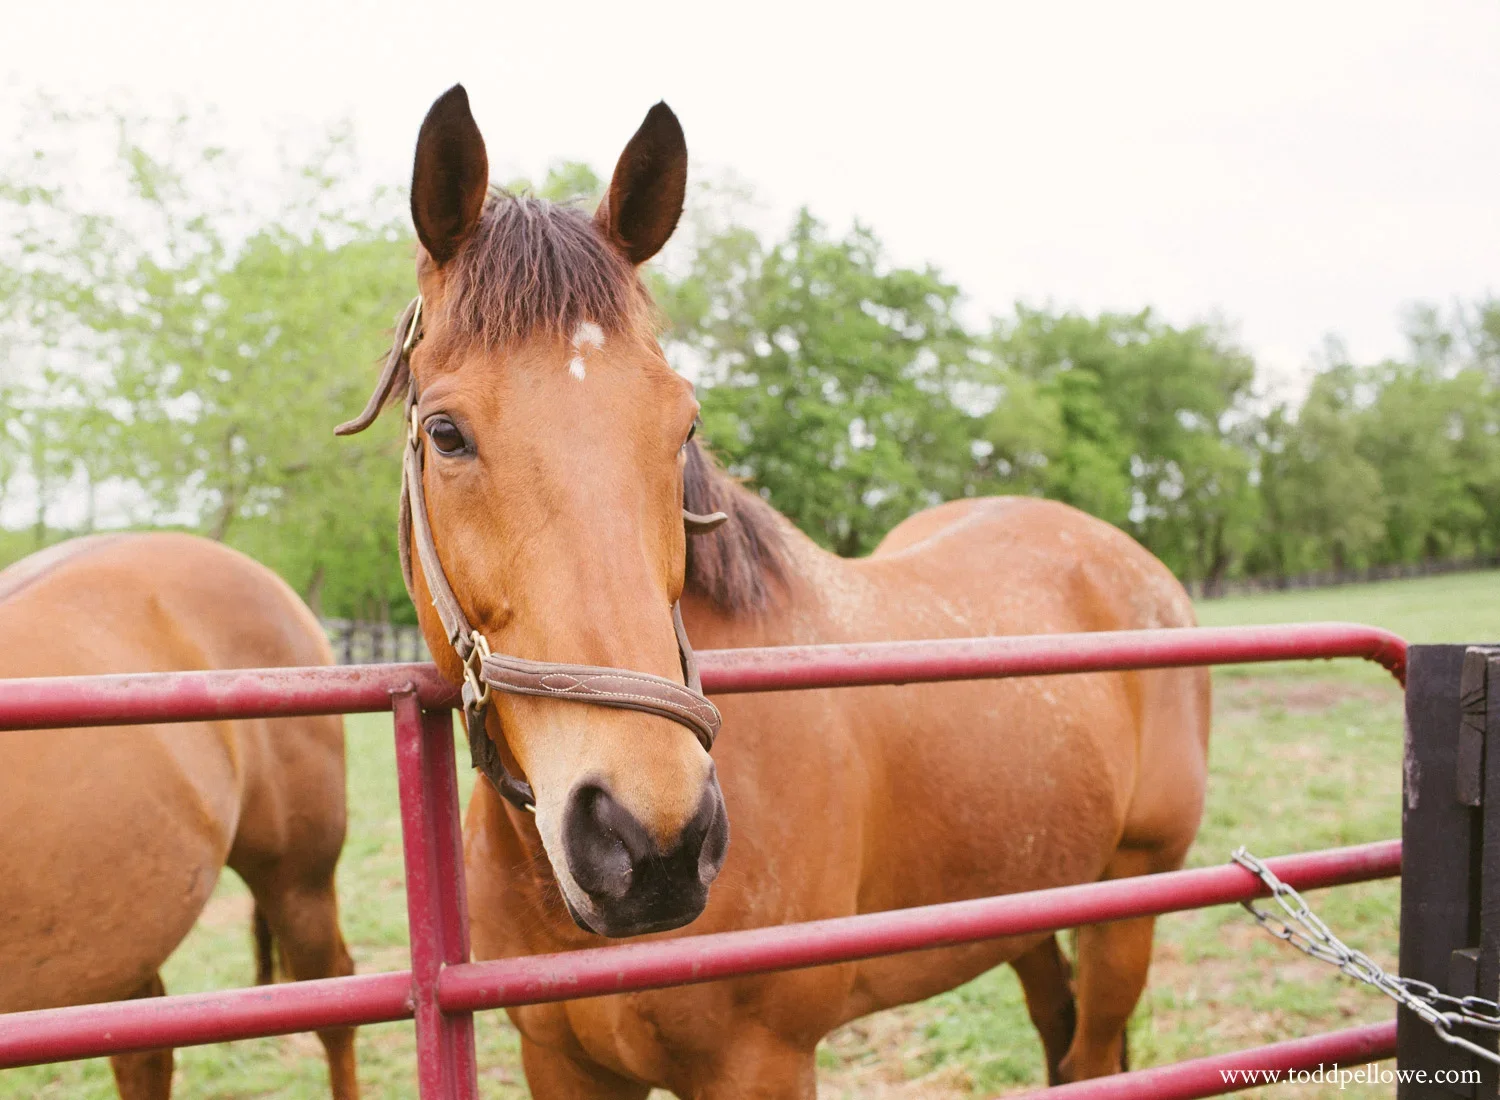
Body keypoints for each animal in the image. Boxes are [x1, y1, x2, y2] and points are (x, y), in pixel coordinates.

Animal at [345, 84, 1211, 1097]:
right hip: (1023, 902)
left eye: (683, 426)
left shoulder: (761, 1062)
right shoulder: (560, 1060)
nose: (652, 841)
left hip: (1129, 904)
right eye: (446, 434)